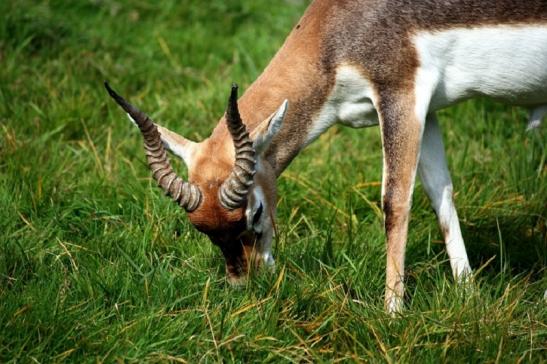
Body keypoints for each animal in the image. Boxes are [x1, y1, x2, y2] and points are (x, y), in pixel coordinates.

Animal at [107, 0, 547, 312]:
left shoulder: (399, 94)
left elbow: (395, 202)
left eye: (255, 211)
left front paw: (391, 314)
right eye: (202, 230)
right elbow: (440, 193)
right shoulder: (428, 111)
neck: (341, 26)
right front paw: (469, 295)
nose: (248, 286)